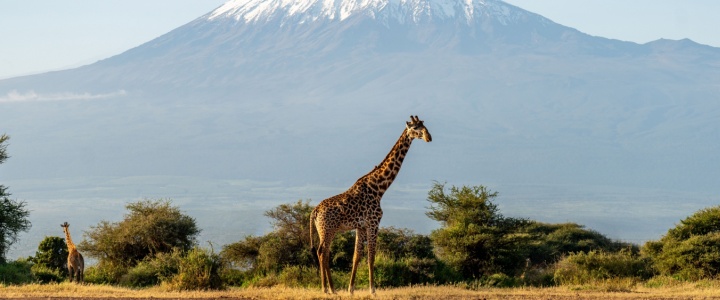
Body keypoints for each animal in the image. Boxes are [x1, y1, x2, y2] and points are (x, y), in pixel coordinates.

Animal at [310, 115, 434, 296]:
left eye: (424, 126)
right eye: (415, 128)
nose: (428, 137)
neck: (379, 188)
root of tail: (315, 211)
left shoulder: (361, 226)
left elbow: (356, 256)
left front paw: (351, 289)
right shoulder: (373, 223)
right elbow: (371, 256)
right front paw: (373, 290)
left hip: (323, 231)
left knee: (323, 253)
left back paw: (330, 289)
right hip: (328, 230)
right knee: (322, 253)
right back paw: (328, 289)